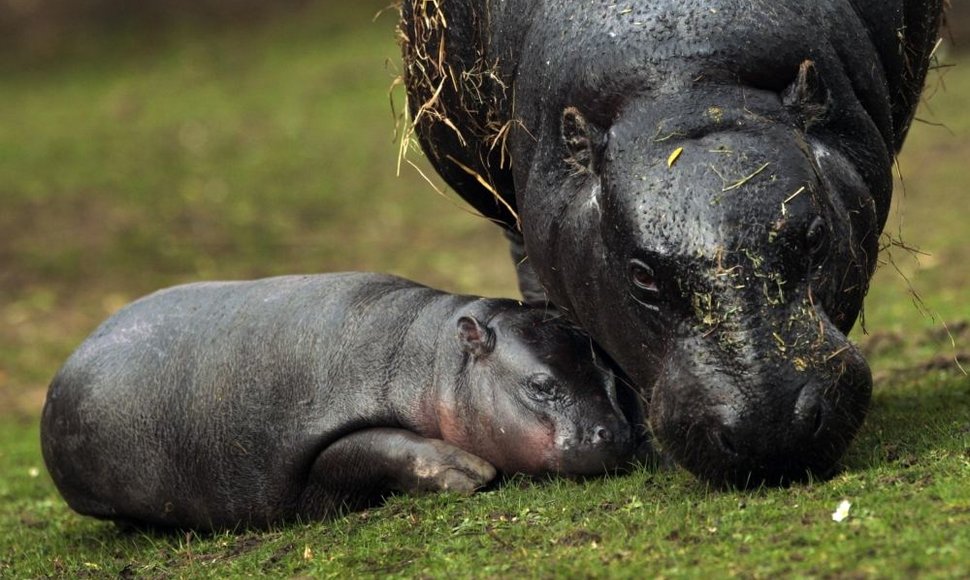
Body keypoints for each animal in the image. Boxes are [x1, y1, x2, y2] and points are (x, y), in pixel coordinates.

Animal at [41, 272, 636, 532]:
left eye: (610, 374)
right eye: (540, 385)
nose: (615, 433)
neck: (434, 359)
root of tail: (69, 359)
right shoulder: (312, 452)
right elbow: (372, 446)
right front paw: (469, 472)